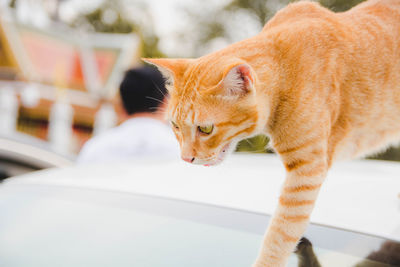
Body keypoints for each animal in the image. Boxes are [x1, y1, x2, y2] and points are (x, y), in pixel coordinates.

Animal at [144, 1, 400, 266]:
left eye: (205, 129)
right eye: (175, 125)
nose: (186, 158)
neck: (285, 68)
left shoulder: (306, 171)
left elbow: (279, 236)